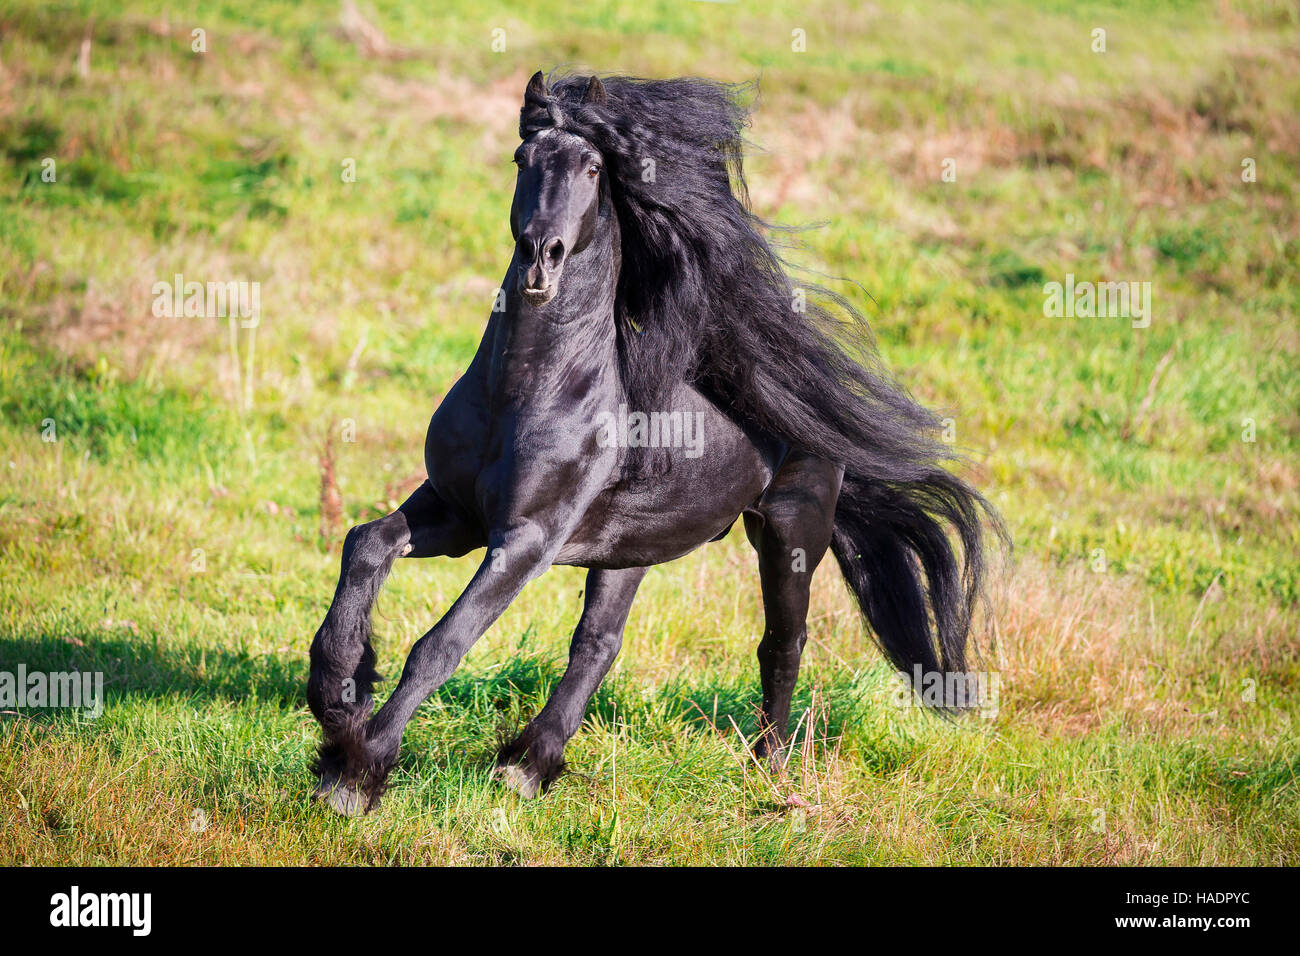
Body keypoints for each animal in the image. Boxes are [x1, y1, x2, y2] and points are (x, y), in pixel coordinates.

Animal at [307, 71, 1003, 815]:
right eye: (522, 160)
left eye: (592, 168)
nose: (540, 259)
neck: (526, 390)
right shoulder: (456, 510)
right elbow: (366, 541)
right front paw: (338, 692)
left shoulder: (524, 539)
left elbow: (442, 644)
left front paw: (355, 773)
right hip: (630, 547)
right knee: (599, 643)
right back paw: (528, 766)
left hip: (790, 534)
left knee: (782, 643)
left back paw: (769, 771)